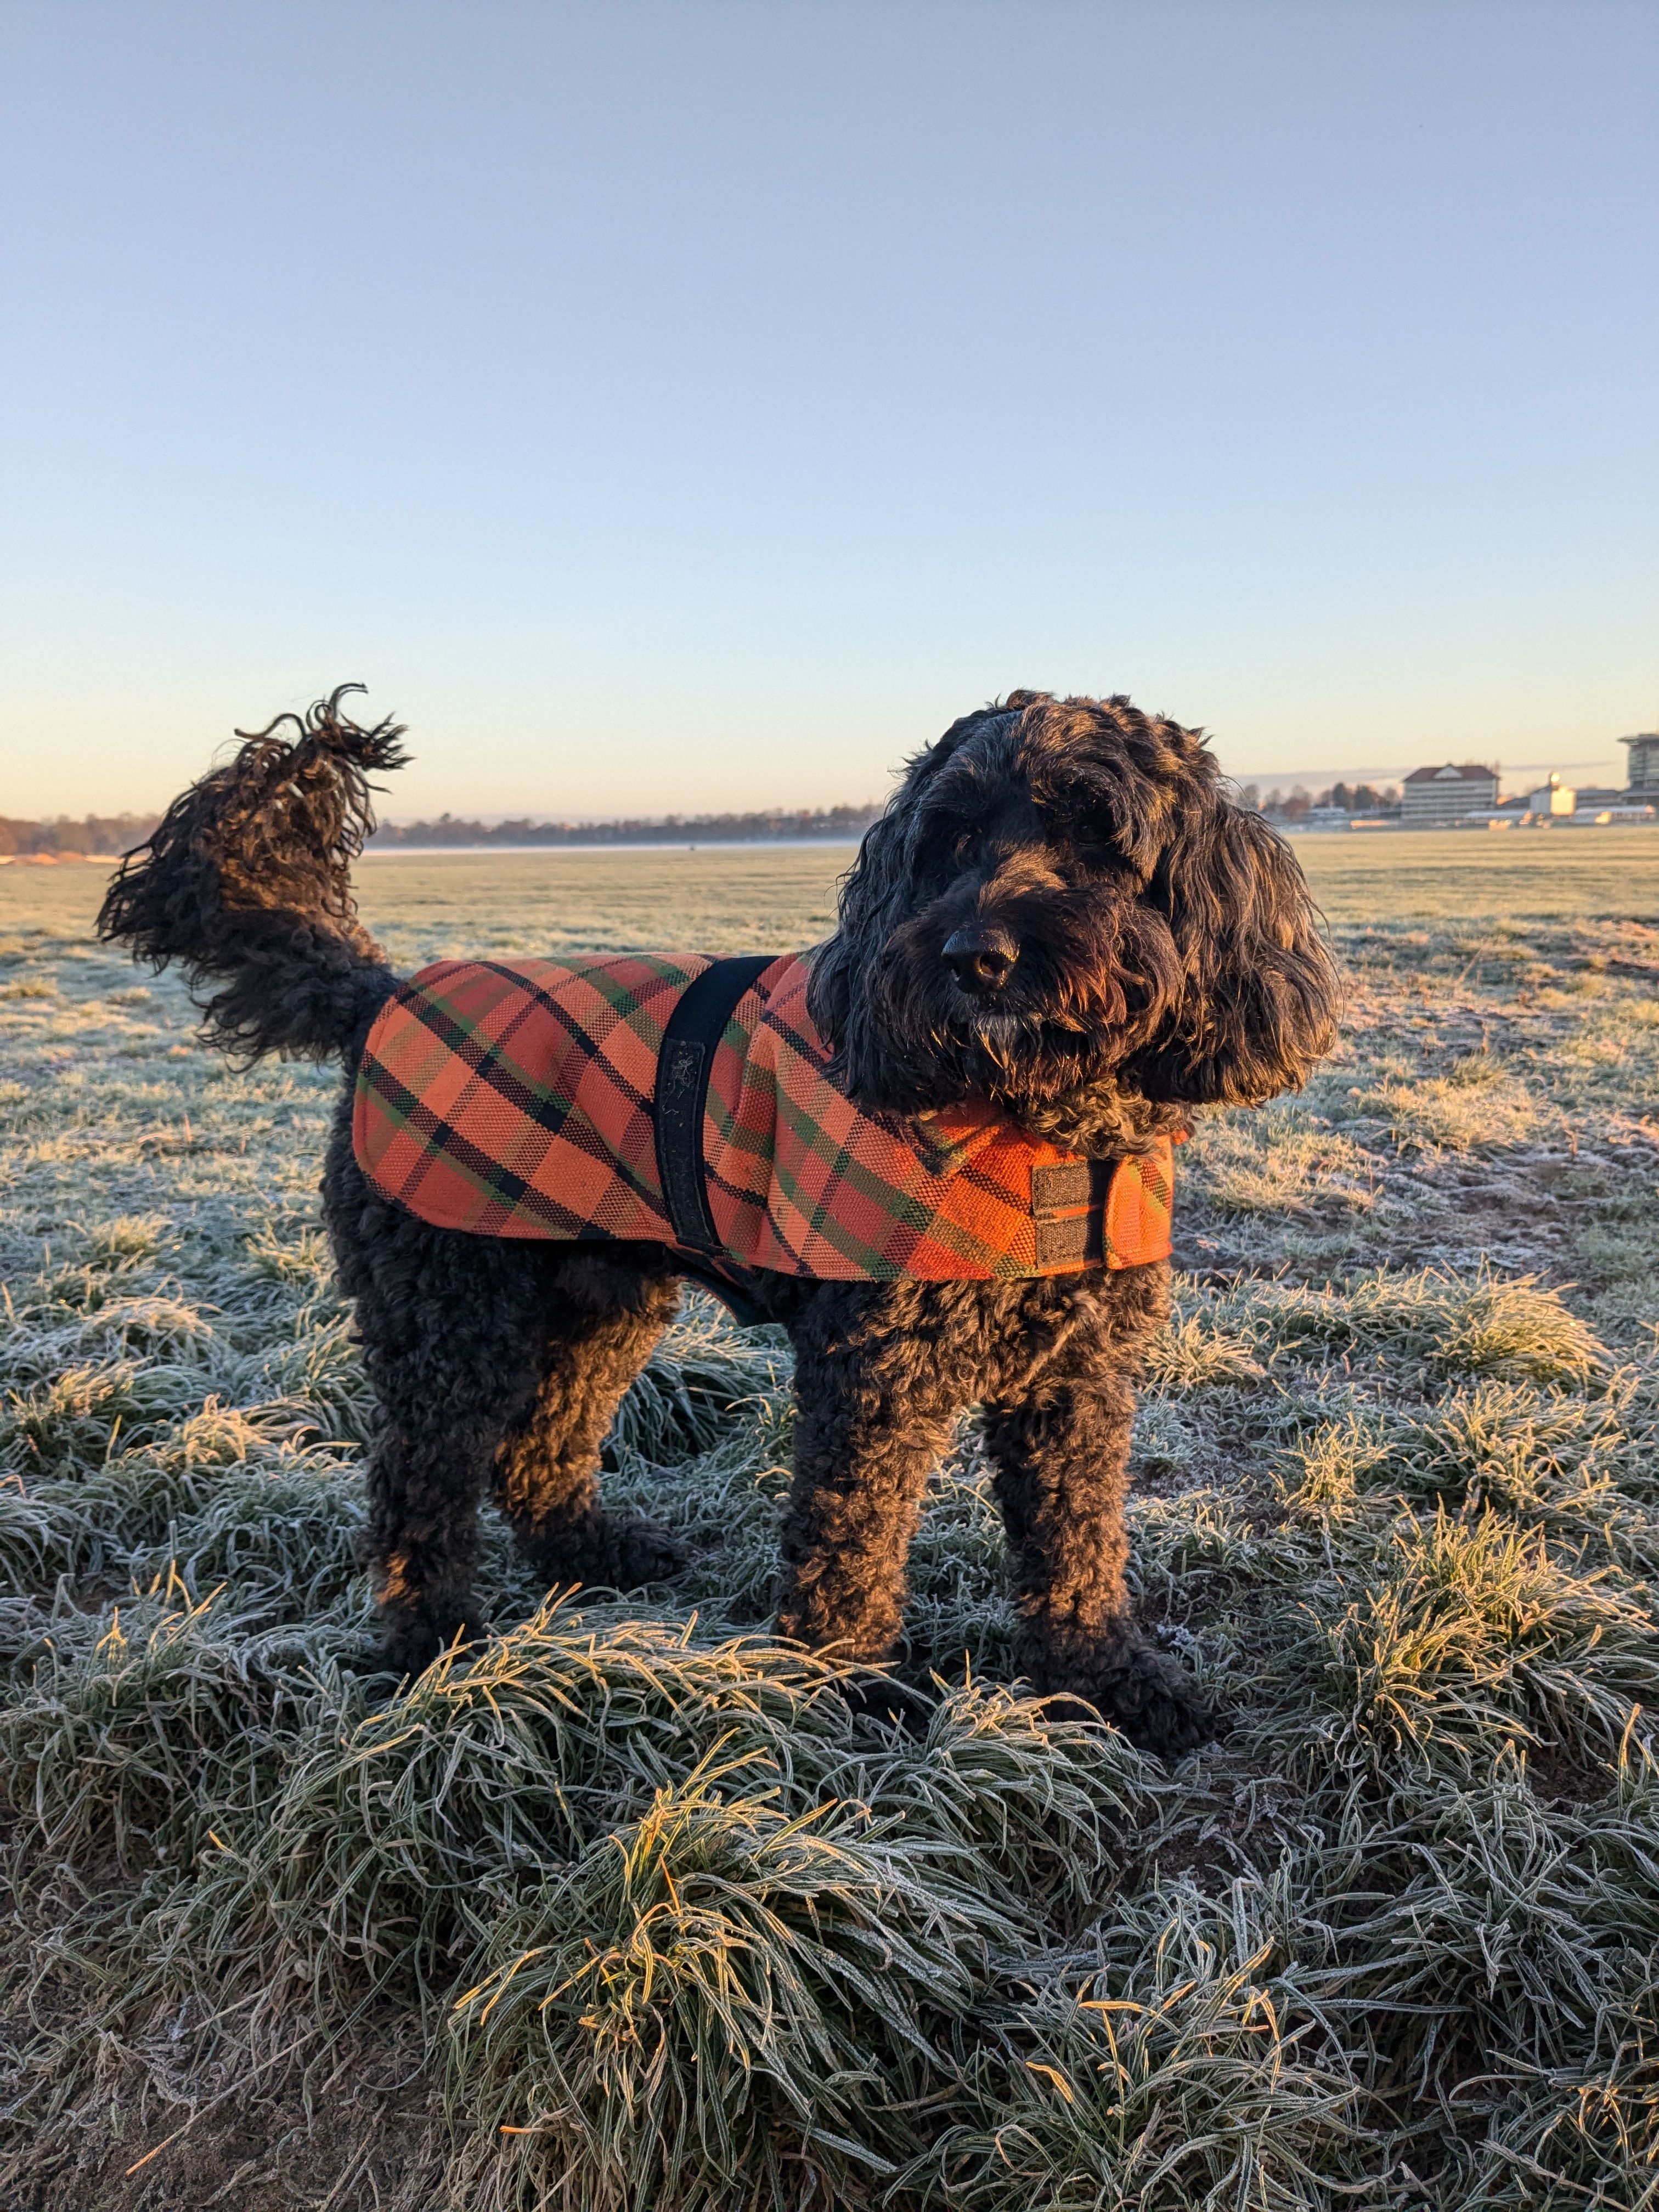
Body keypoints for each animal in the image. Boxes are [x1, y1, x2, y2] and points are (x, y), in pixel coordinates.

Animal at [98, 686, 1337, 1755]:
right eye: (945, 842)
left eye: (1098, 836)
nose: (973, 957)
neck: (1037, 1123)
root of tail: (382, 994)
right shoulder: (874, 1368)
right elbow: (851, 1537)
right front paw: (850, 1690)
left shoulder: (1076, 1375)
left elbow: (1079, 1537)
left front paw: (1104, 1679)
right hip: (449, 1307)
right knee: (419, 1480)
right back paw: (433, 1646)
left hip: (600, 1293)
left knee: (540, 1445)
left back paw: (591, 1553)